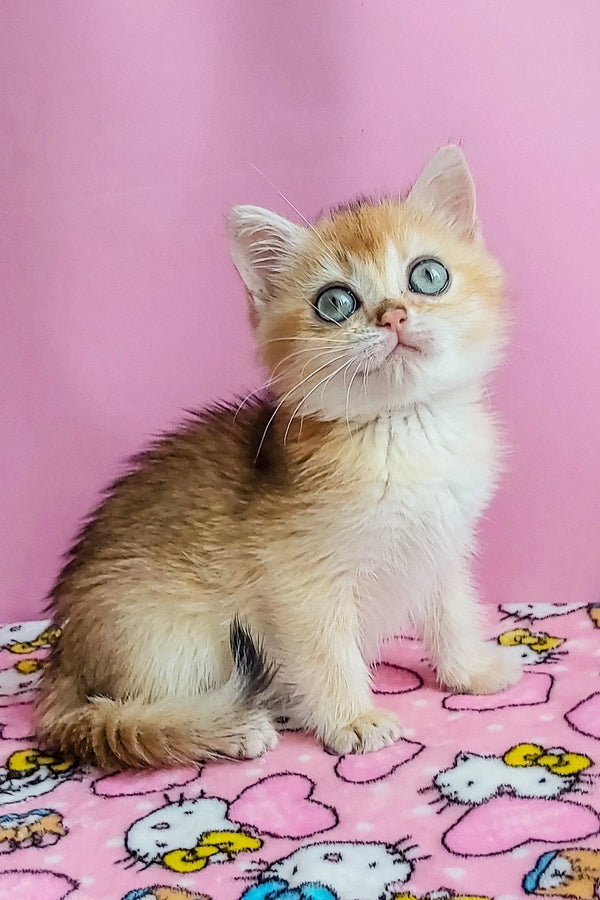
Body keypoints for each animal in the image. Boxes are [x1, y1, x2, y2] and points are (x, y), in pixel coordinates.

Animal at [34, 144, 520, 768]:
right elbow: (326, 650)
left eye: (428, 275)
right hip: (173, 640)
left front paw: (472, 671)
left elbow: (453, 612)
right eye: (335, 302)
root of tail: (62, 661)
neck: (403, 431)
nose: (393, 314)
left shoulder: (440, 546)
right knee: (116, 716)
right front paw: (352, 718)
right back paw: (232, 726)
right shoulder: (298, 579)